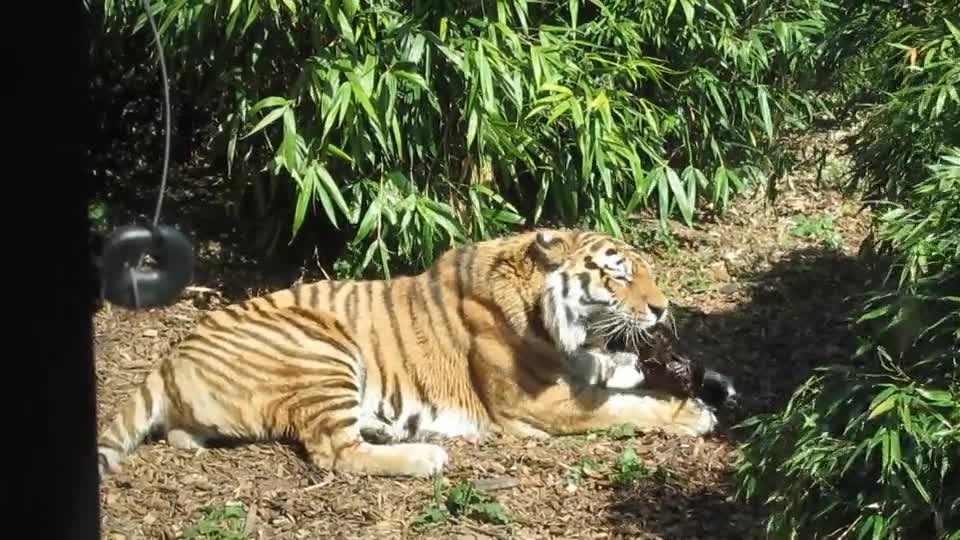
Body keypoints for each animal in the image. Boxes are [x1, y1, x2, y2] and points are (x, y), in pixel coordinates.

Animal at [97, 227, 728, 476]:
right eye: (619, 275)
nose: (663, 309)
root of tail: (170, 355)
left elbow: (626, 373)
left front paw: (707, 380)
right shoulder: (541, 404)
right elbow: (628, 405)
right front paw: (692, 414)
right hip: (324, 350)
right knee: (334, 452)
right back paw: (424, 454)